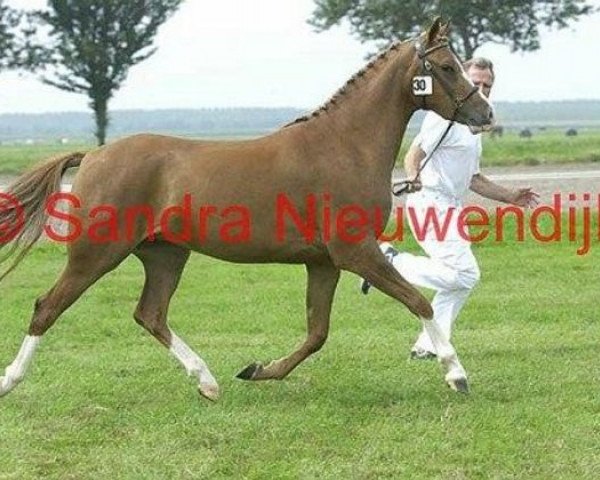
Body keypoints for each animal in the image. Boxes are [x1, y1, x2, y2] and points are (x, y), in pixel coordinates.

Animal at [1, 18, 492, 400]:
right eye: (447, 67)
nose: (485, 114)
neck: (344, 146)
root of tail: (94, 156)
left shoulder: (324, 262)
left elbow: (317, 333)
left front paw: (258, 369)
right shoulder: (355, 252)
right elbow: (418, 302)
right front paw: (456, 374)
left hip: (165, 255)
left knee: (150, 314)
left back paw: (207, 381)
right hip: (97, 254)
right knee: (47, 307)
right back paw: (11, 381)